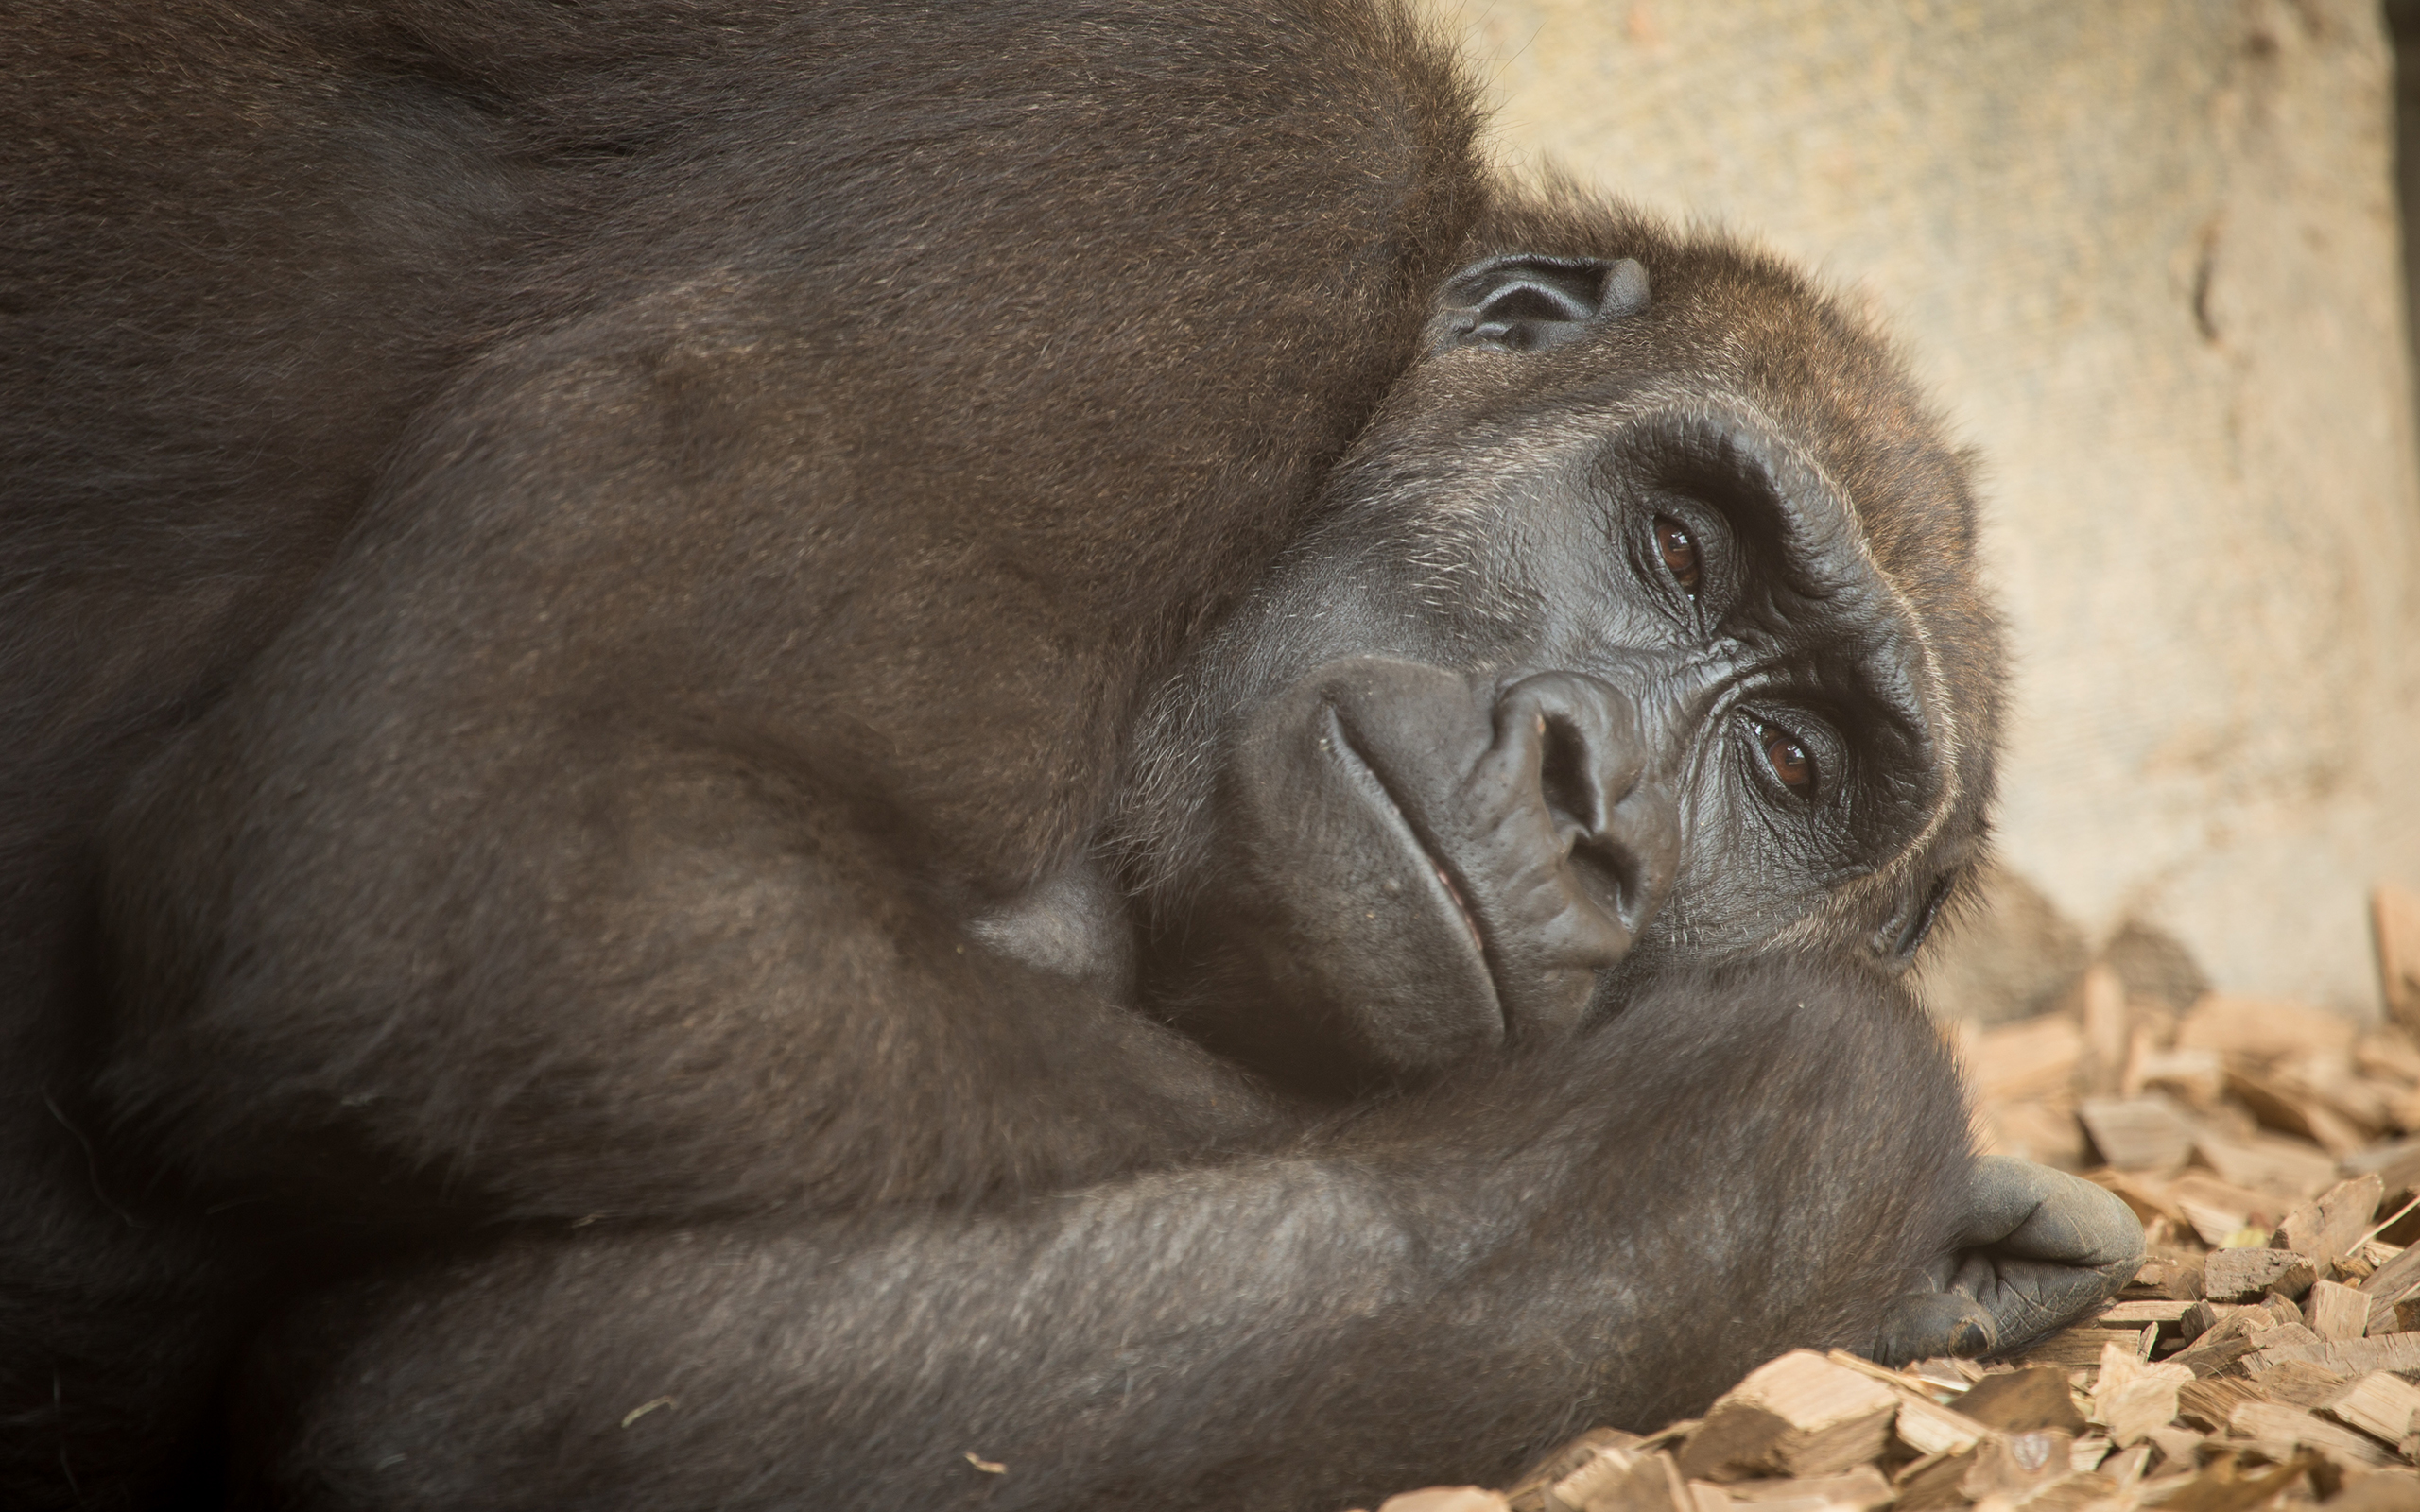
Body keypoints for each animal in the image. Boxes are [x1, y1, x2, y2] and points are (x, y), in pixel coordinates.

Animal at [0, 1, 2141, 1506]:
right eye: (1678, 545)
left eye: (1784, 768)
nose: (1587, 800)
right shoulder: (1206, 162)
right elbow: (480, 844)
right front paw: (1840, 1175)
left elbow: (466, 1396)